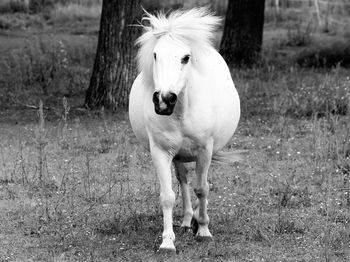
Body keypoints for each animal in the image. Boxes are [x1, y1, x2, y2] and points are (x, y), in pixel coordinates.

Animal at [129, 7, 241, 251]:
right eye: (155, 55)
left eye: (186, 58)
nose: (164, 100)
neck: (181, 112)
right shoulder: (160, 152)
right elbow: (168, 196)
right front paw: (167, 242)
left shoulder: (205, 150)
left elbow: (203, 188)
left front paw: (205, 231)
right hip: (178, 155)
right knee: (183, 179)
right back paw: (188, 220)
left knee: (199, 184)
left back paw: (197, 221)